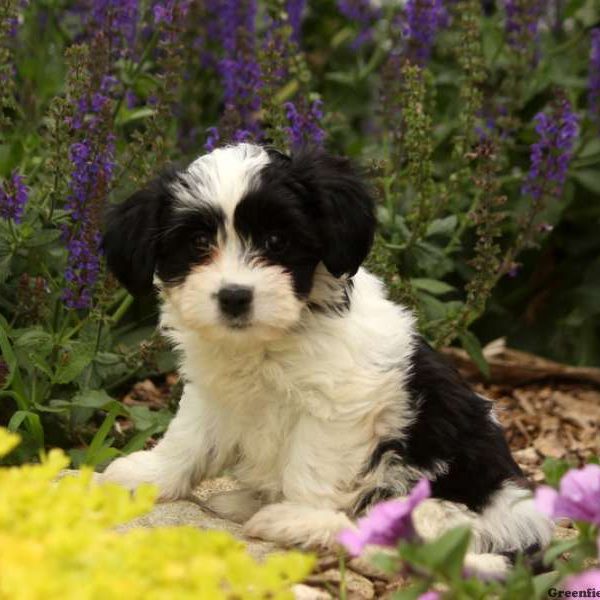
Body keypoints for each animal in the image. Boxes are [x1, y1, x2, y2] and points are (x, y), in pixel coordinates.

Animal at [99, 143, 552, 576]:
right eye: (197, 243)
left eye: (276, 241)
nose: (234, 296)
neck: (270, 341)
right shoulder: (214, 394)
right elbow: (189, 438)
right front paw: (149, 475)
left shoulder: (339, 407)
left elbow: (311, 467)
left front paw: (297, 514)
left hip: (438, 495)